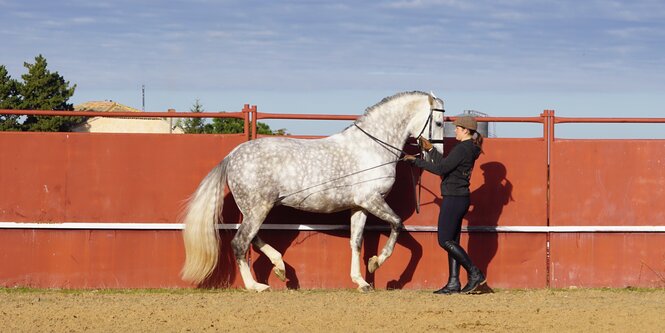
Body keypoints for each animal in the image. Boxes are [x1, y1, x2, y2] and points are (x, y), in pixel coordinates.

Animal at [179, 91, 444, 290]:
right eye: (440, 122)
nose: (436, 156)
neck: (372, 147)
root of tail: (232, 155)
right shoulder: (372, 200)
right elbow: (397, 224)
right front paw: (376, 263)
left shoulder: (359, 206)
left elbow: (356, 242)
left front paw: (361, 281)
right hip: (258, 209)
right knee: (240, 242)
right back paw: (256, 286)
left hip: (253, 210)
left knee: (253, 239)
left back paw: (280, 267)